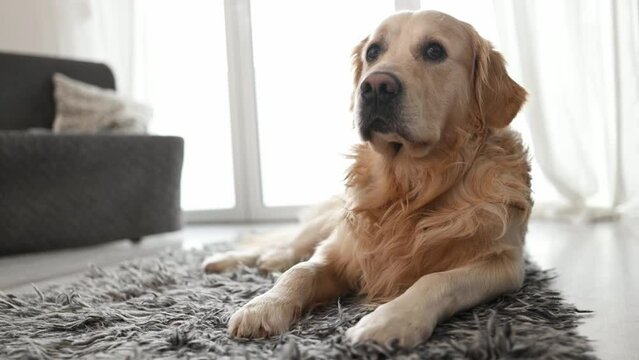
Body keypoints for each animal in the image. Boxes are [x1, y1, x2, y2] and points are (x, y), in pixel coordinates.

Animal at [204, 10, 528, 348]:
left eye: (434, 51)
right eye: (373, 52)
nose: (375, 85)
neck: (408, 185)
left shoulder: (503, 262)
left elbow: (436, 280)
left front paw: (389, 320)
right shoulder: (339, 249)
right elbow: (300, 271)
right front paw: (263, 305)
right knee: (288, 247)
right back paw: (230, 259)